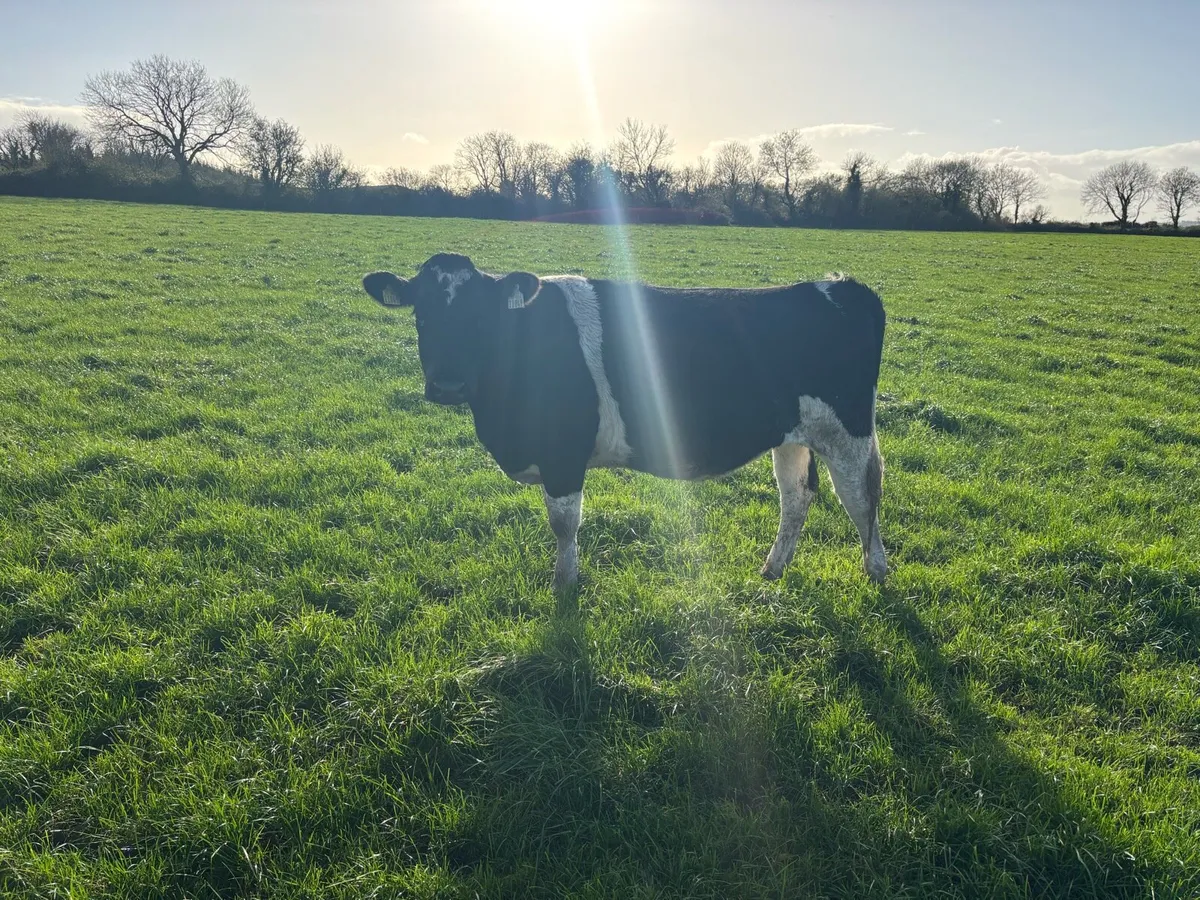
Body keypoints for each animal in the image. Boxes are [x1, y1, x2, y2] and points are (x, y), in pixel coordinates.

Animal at [361, 253, 888, 592]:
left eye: (481, 318)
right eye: (422, 313)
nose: (449, 385)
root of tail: (841, 285)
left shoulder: (563, 453)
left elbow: (564, 524)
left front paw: (565, 586)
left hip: (849, 431)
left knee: (862, 498)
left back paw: (876, 573)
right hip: (792, 433)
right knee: (796, 496)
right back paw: (772, 571)